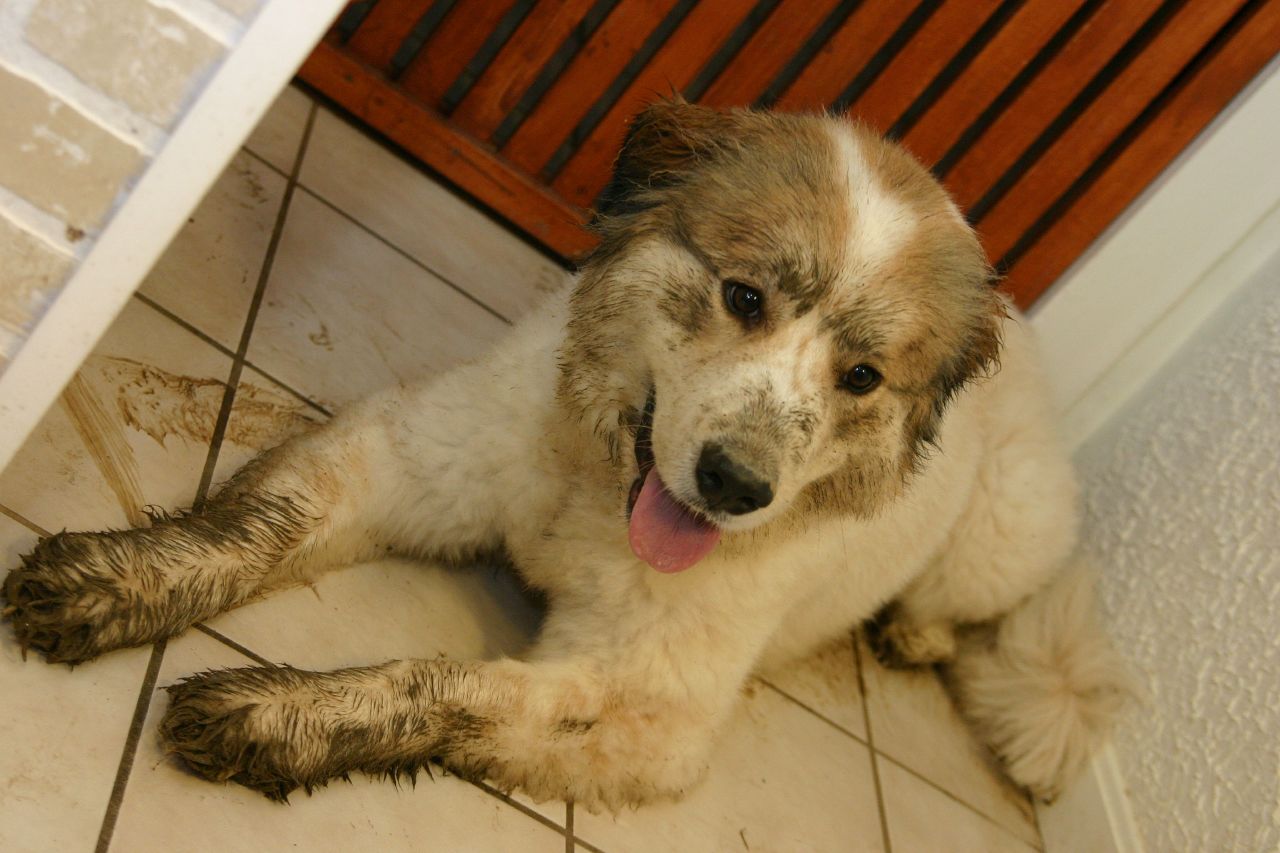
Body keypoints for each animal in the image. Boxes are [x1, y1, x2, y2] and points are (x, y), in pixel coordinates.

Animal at [0, 97, 1126, 804]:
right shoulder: (413, 453)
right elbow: (254, 533)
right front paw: (113, 580)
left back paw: (917, 636)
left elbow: (439, 683)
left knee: (961, 602)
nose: (734, 485)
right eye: (743, 296)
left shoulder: (640, 710)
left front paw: (272, 717)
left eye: (859, 378)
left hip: (1003, 534)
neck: (600, 485)